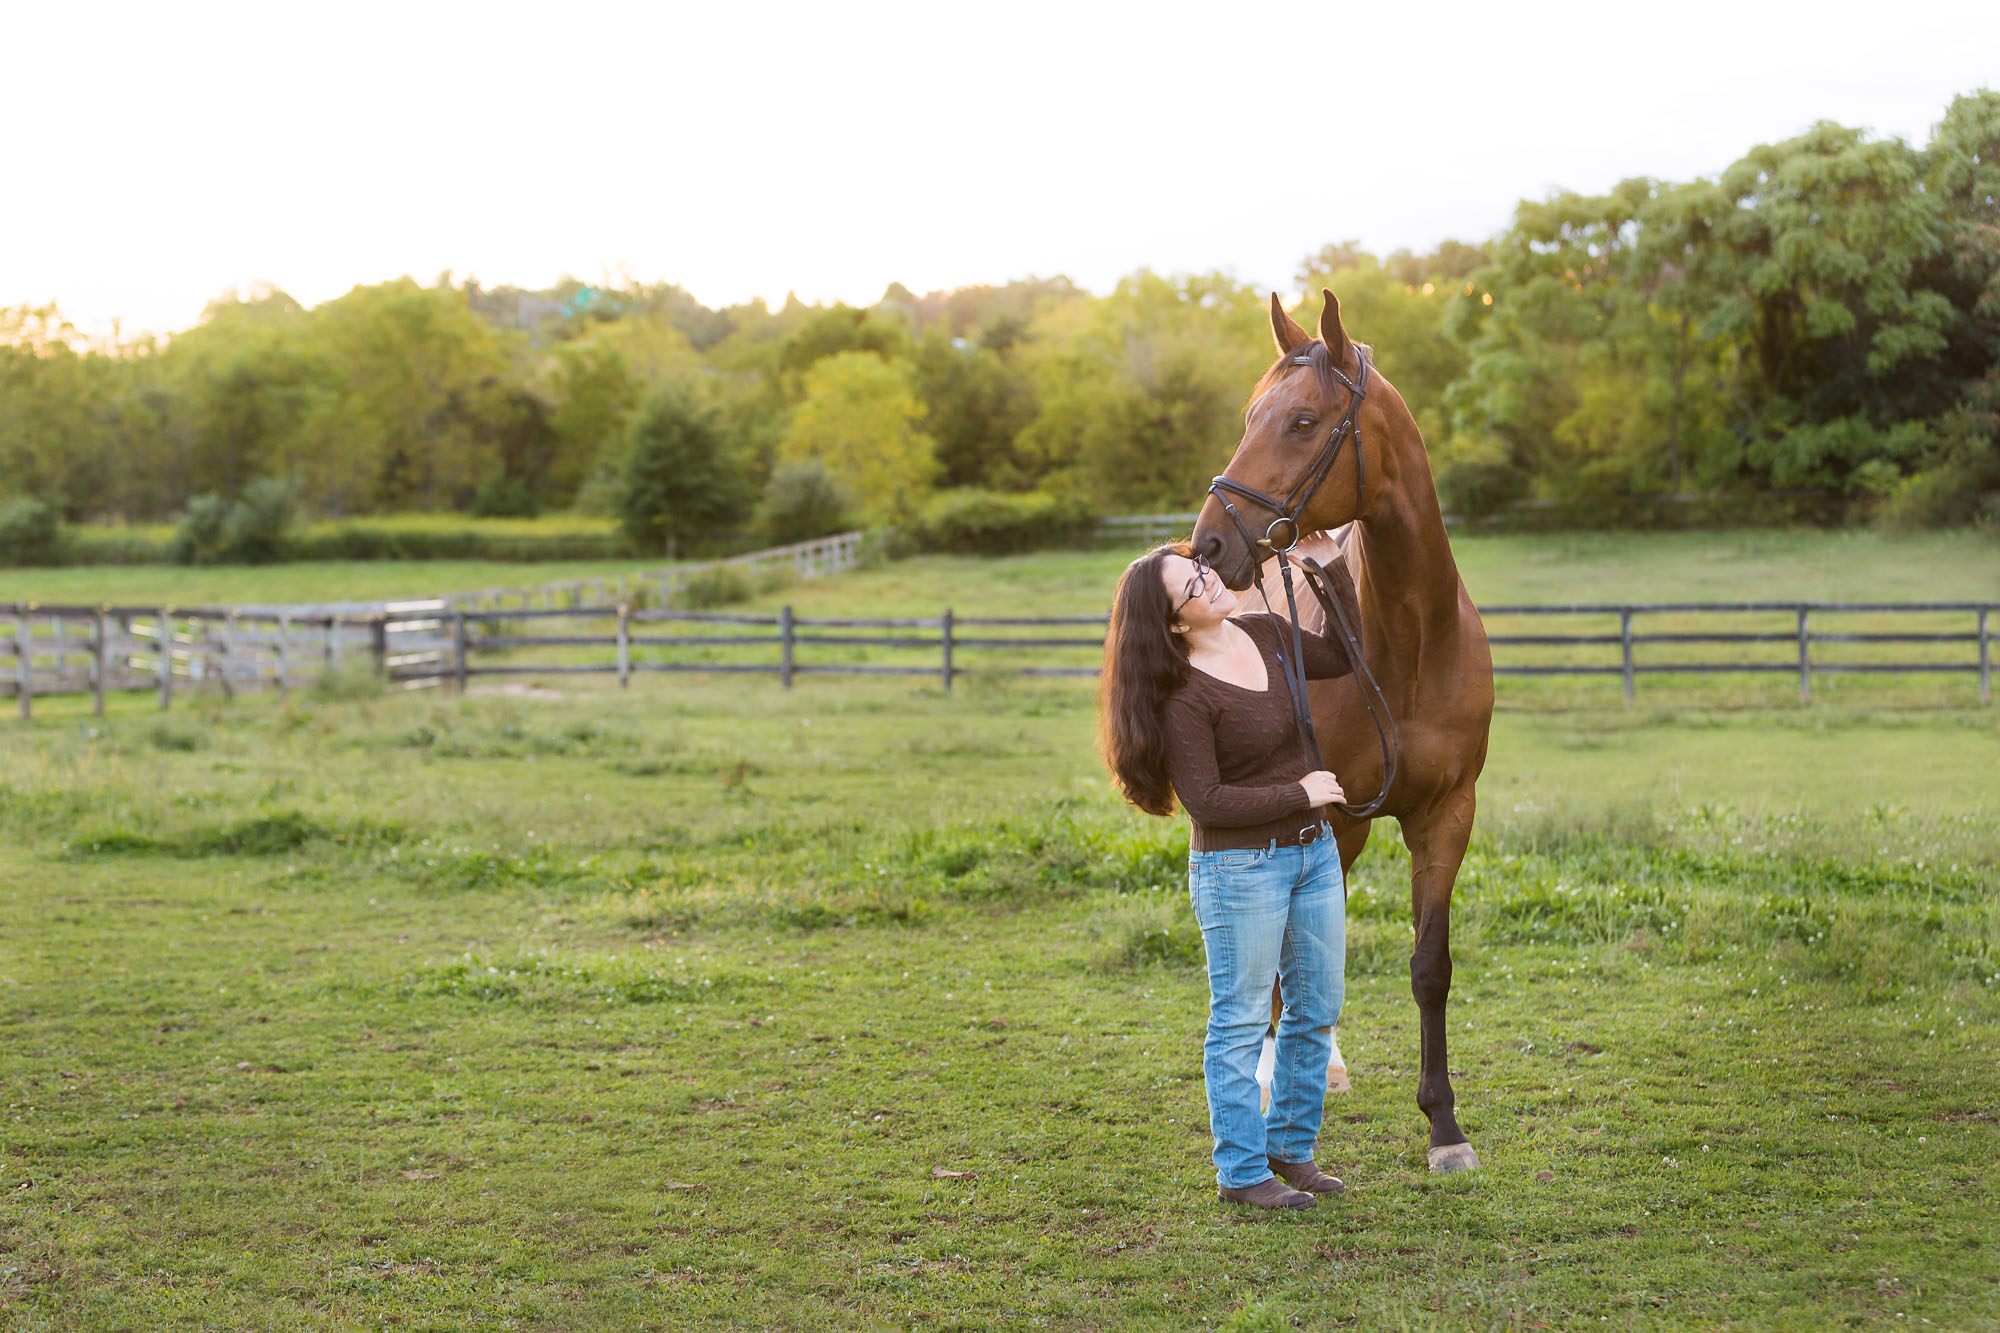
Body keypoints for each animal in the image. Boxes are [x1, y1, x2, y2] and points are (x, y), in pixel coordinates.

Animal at [1192, 290, 1495, 1173]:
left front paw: (1445, 1127)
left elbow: (1430, 965)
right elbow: (1291, 957)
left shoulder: (1446, 816)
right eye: (1251, 416)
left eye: (1301, 421)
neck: (1409, 647)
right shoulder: (1326, 813)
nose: (1210, 542)